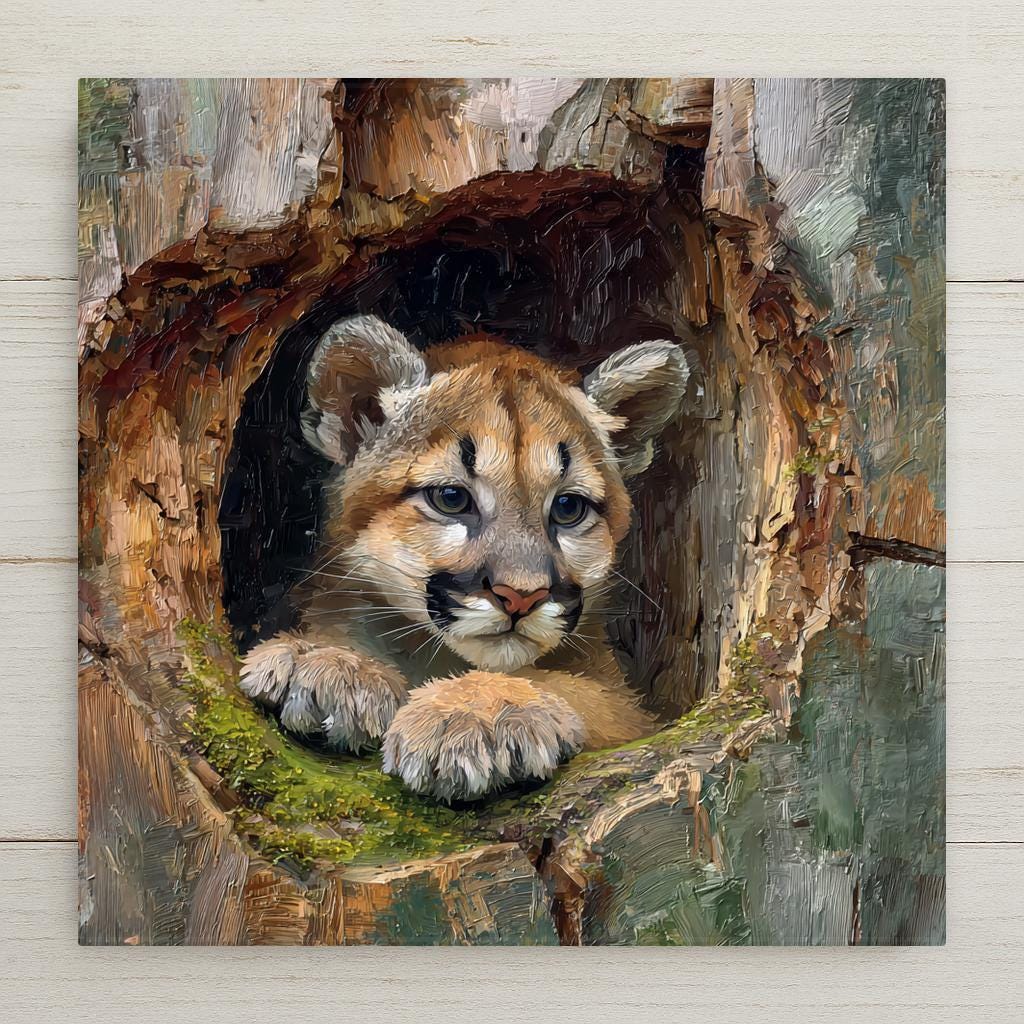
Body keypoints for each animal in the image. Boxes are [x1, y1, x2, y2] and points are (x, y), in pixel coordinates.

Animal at [239, 314, 689, 801]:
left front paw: (472, 713)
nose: (521, 597)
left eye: (569, 508)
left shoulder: (635, 713)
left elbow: (581, 690)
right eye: (452, 499)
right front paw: (327, 663)